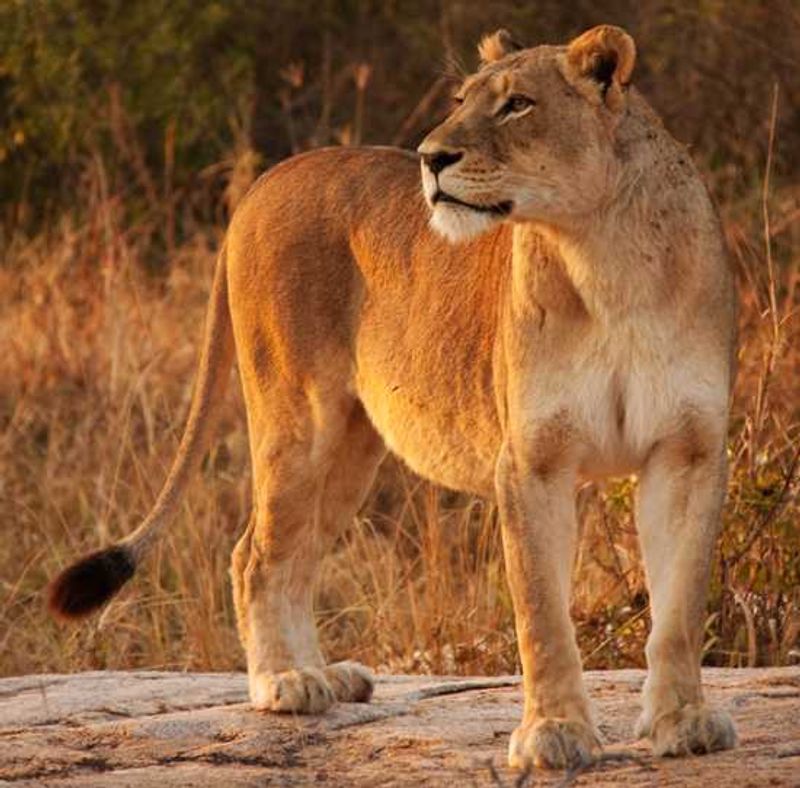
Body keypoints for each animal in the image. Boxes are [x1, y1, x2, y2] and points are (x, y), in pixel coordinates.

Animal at [48, 25, 738, 770]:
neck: (605, 258)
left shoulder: (688, 451)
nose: (432, 157)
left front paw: (683, 723)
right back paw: (285, 681)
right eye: (463, 100)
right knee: (256, 554)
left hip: (352, 447)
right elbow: (542, 614)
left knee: (294, 557)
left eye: (518, 104)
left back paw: (326, 675)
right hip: (298, 419)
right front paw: (554, 733)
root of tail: (263, 183)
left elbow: (679, 608)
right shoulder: (532, 461)